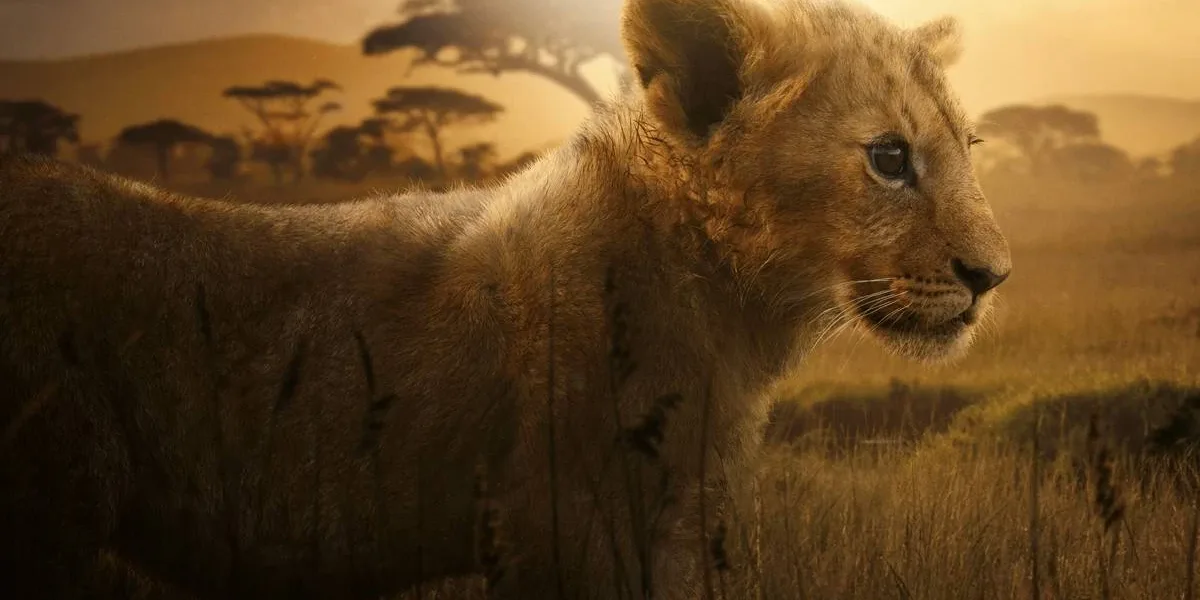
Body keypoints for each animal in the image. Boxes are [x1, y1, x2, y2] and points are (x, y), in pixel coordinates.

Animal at [0, 0, 1010, 598]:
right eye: (888, 157)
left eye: (969, 146)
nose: (993, 276)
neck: (724, 313)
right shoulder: (558, 523)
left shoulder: (681, 516)